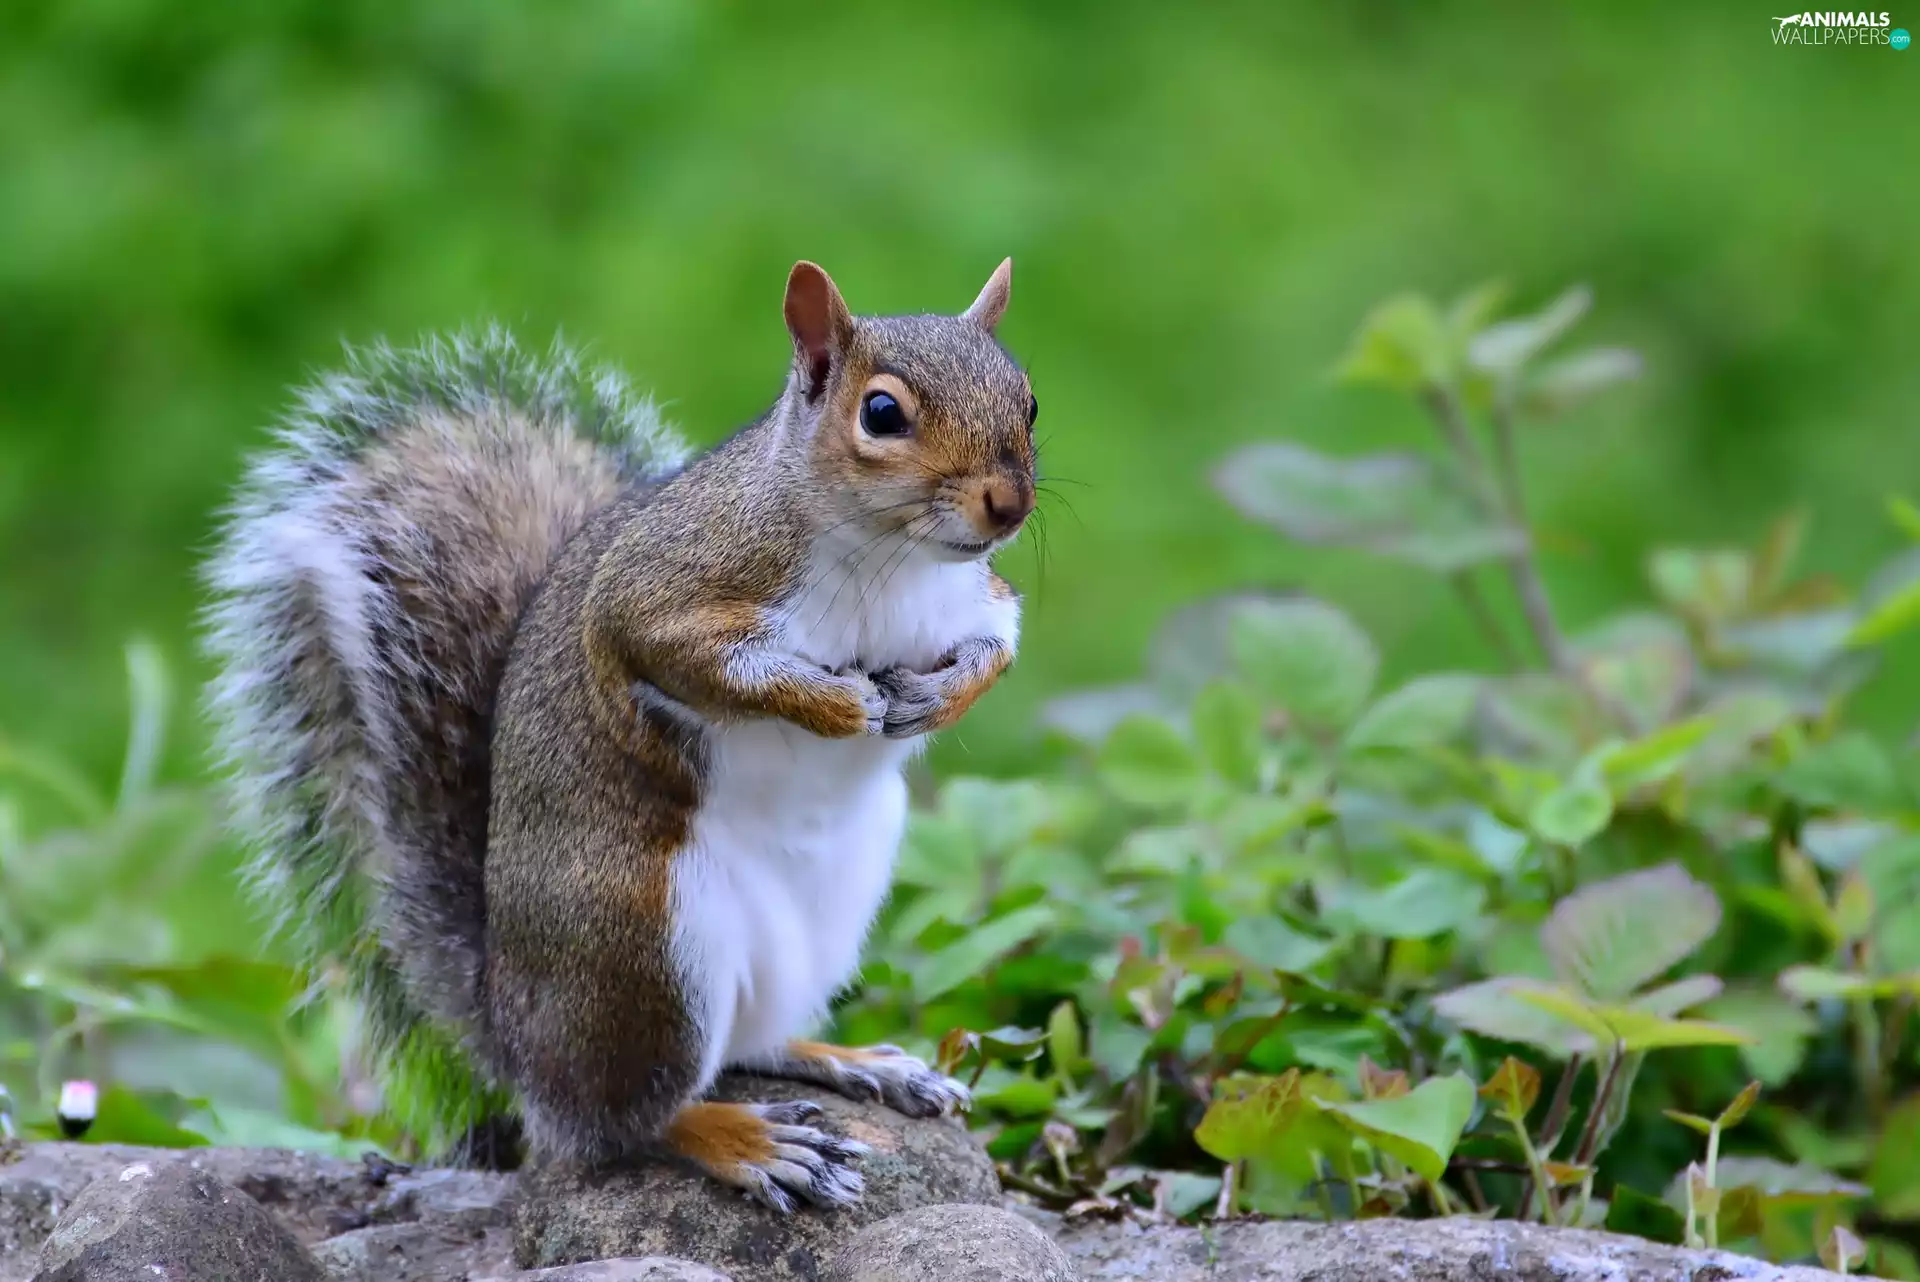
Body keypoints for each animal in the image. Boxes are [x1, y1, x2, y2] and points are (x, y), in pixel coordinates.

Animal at [202, 260, 1037, 1212]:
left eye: (1028, 400)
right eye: (883, 413)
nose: (1009, 505)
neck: (893, 558)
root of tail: (515, 1039)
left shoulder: (976, 599)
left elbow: (999, 644)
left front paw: (936, 697)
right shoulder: (659, 594)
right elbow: (689, 657)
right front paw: (835, 706)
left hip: (827, 914)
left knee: (750, 1043)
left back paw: (858, 1062)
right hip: (646, 946)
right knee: (622, 1122)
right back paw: (747, 1141)